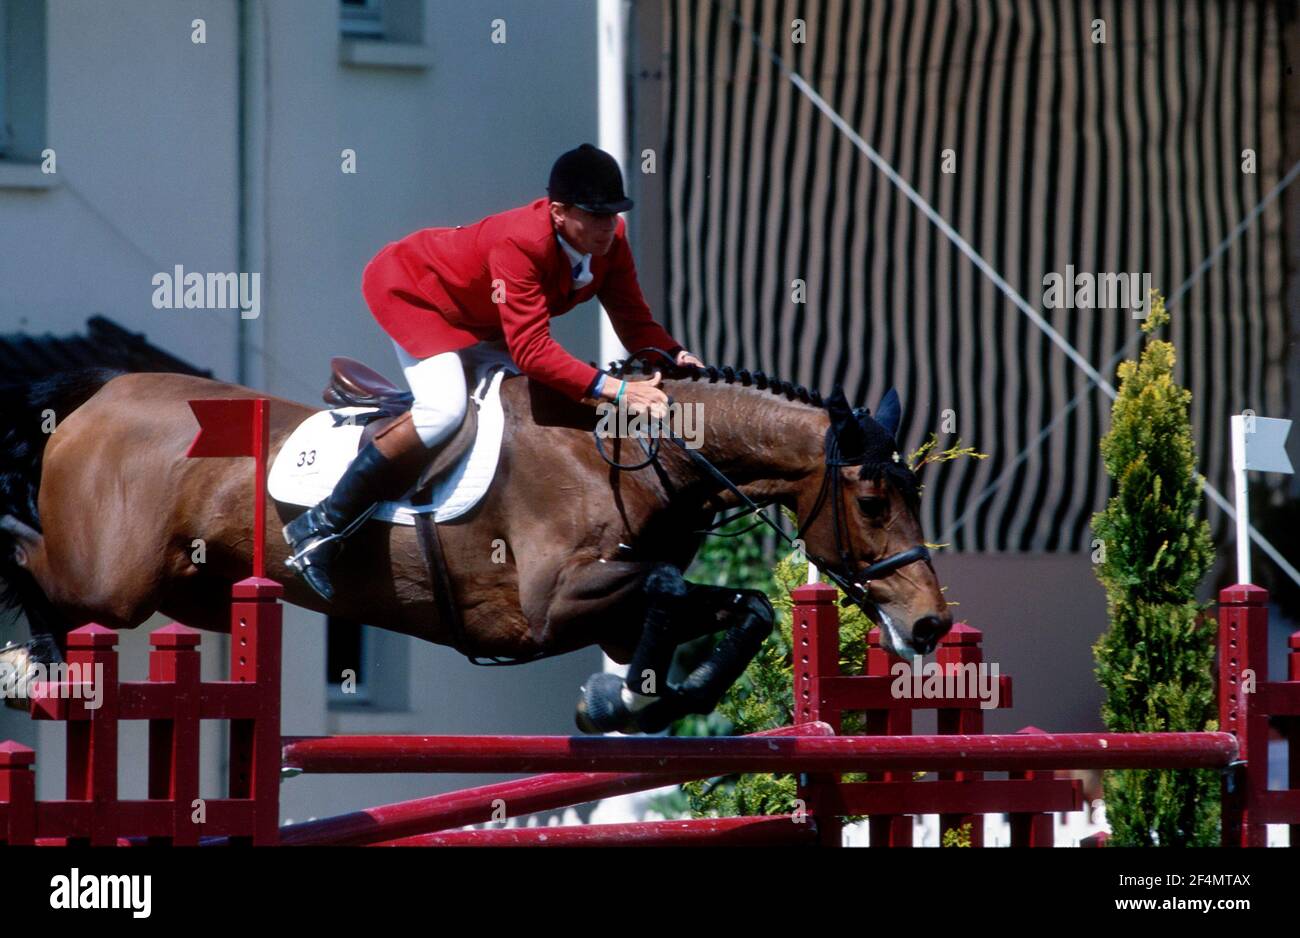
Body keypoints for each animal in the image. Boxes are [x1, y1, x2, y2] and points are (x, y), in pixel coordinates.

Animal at [2, 358, 956, 732]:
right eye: (874, 500)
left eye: (916, 495)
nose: (932, 625)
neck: (634, 455)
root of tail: (97, 397)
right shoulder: (548, 610)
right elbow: (670, 592)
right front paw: (622, 700)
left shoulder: (613, 611)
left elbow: (743, 608)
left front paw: (635, 700)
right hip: (111, 581)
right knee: (22, 556)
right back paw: (31, 663)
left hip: (189, 592)